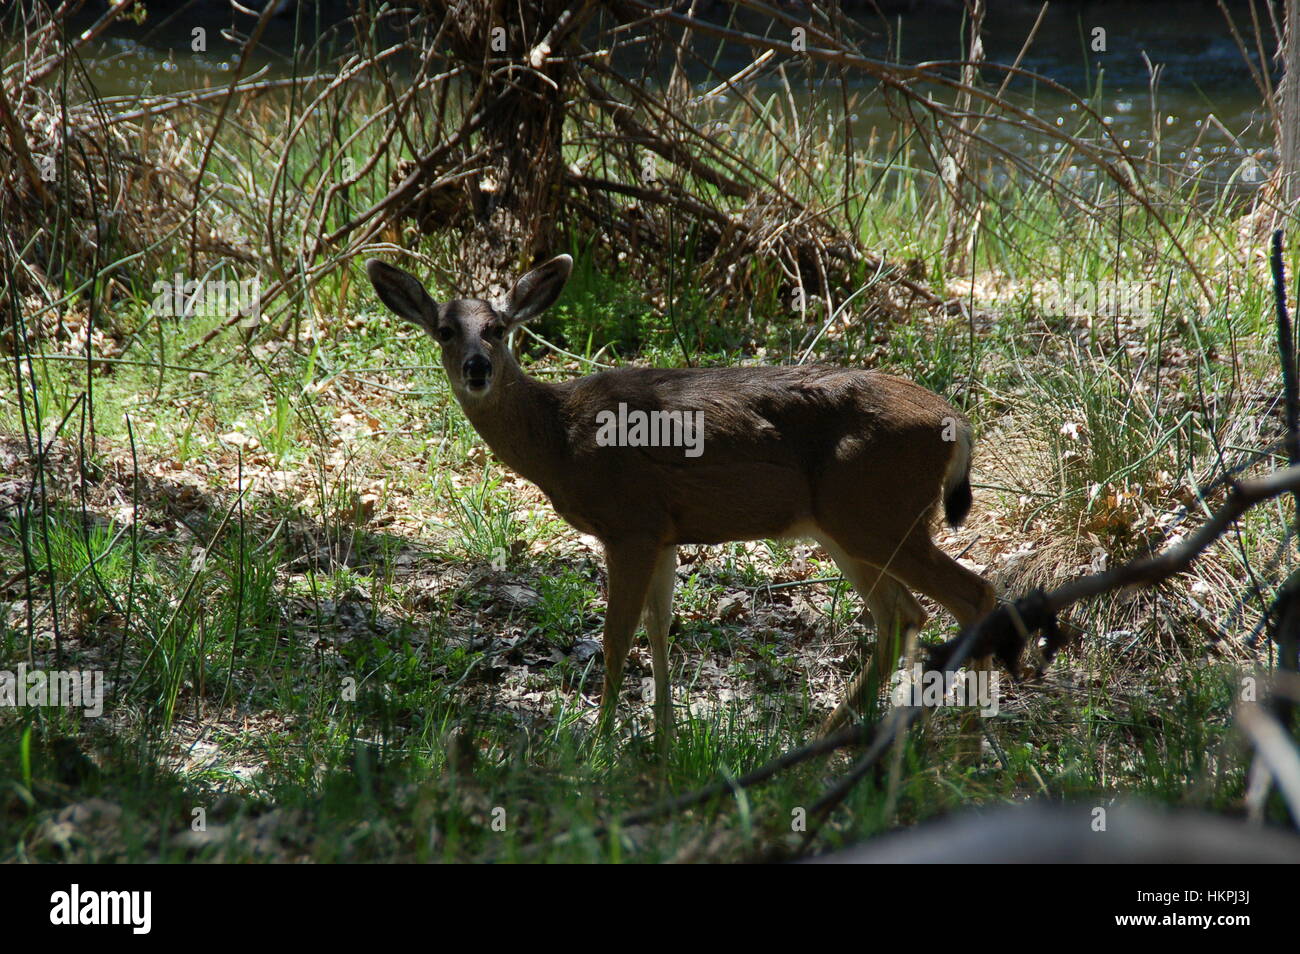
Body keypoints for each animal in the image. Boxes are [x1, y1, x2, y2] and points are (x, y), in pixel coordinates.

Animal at [366, 253, 996, 741]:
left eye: (497, 329)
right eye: (445, 330)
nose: (477, 368)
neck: (560, 439)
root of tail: (957, 422)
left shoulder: (630, 523)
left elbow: (615, 637)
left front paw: (600, 742)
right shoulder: (665, 531)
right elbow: (658, 627)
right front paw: (664, 740)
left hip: (878, 513)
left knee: (973, 594)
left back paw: (967, 747)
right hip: (848, 525)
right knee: (902, 615)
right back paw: (832, 739)